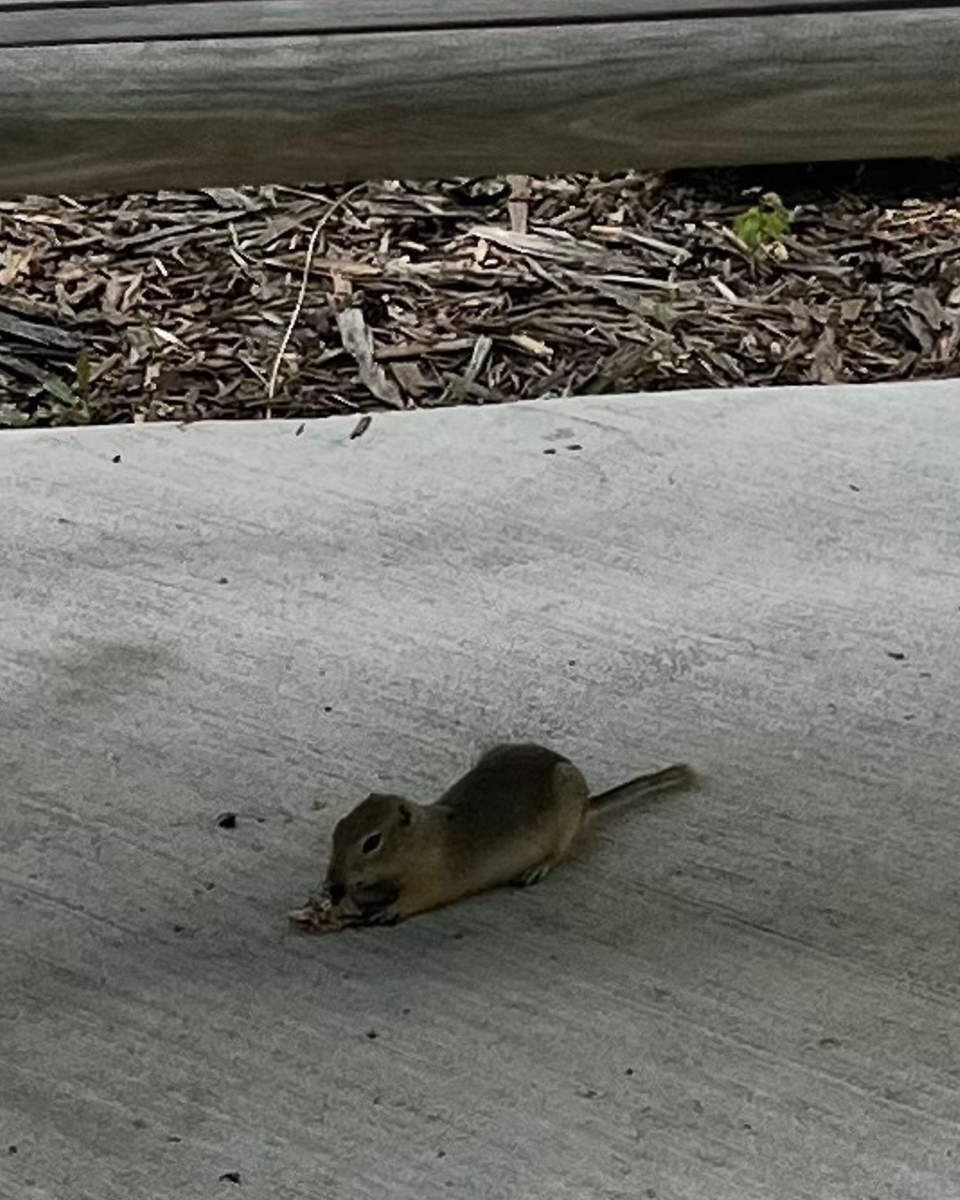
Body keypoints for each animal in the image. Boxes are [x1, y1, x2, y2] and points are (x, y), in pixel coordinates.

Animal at [292, 743, 694, 930]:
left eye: (371, 842)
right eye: (339, 828)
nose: (333, 885)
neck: (422, 839)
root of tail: (585, 804)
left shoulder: (432, 876)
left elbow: (419, 897)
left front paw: (387, 910)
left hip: (565, 808)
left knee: (561, 850)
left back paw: (536, 869)